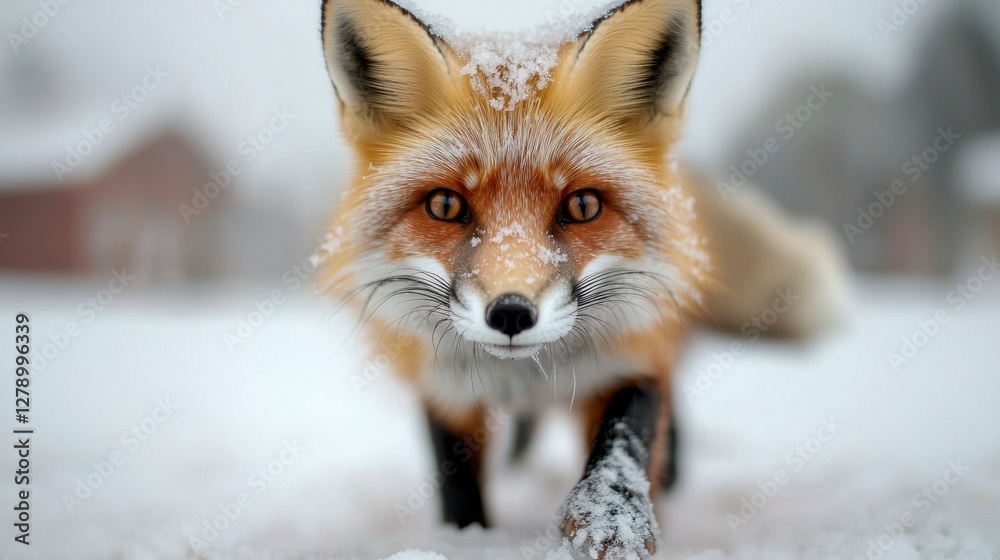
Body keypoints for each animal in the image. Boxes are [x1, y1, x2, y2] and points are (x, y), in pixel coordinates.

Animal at [318, 0, 846, 557]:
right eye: (444, 205)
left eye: (583, 206)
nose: (511, 312)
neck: (527, 376)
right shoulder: (444, 389)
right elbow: (457, 488)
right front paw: (468, 541)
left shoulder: (634, 353)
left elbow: (623, 446)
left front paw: (614, 523)